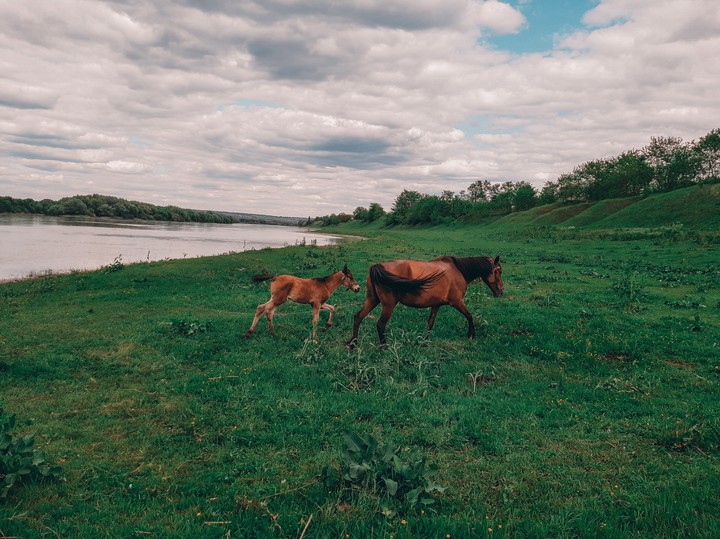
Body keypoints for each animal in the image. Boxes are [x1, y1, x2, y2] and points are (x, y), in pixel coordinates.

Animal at [346, 256, 503, 348]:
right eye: (498, 271)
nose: (501, 291)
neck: (459, 271)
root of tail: (377, 266)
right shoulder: (457, 302)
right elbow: (470, 316)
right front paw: (472, 334)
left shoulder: (436, 305)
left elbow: (430, 323)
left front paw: (424, 342)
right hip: (388, 305)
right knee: (380, 324)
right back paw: (384, 347)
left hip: (373, 300)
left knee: (358, 317)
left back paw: (353, 343)